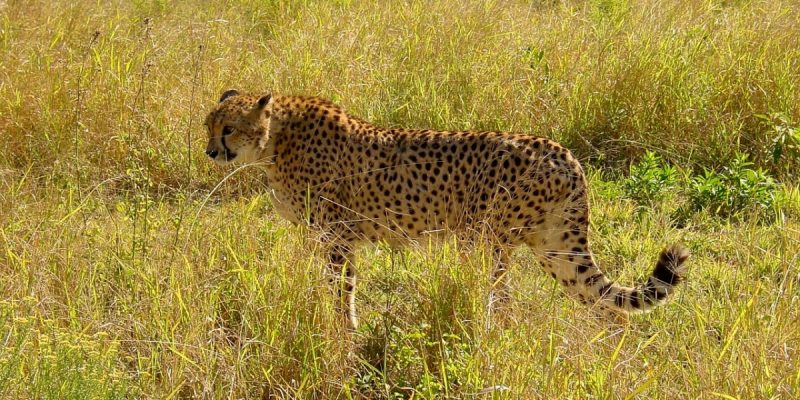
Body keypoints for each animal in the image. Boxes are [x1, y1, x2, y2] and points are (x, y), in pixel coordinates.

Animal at [204, 89, 689, 329]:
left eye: (229, 128)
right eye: (208, 126)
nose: (210, 152)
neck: (275, 139)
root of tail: (563, 153)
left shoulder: (338, 235)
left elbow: (342, 289)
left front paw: (344, 331)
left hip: (484, 238)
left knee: (501, 300)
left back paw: (491, 337)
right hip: (553, 248)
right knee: (605, 305)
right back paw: (608, 354)